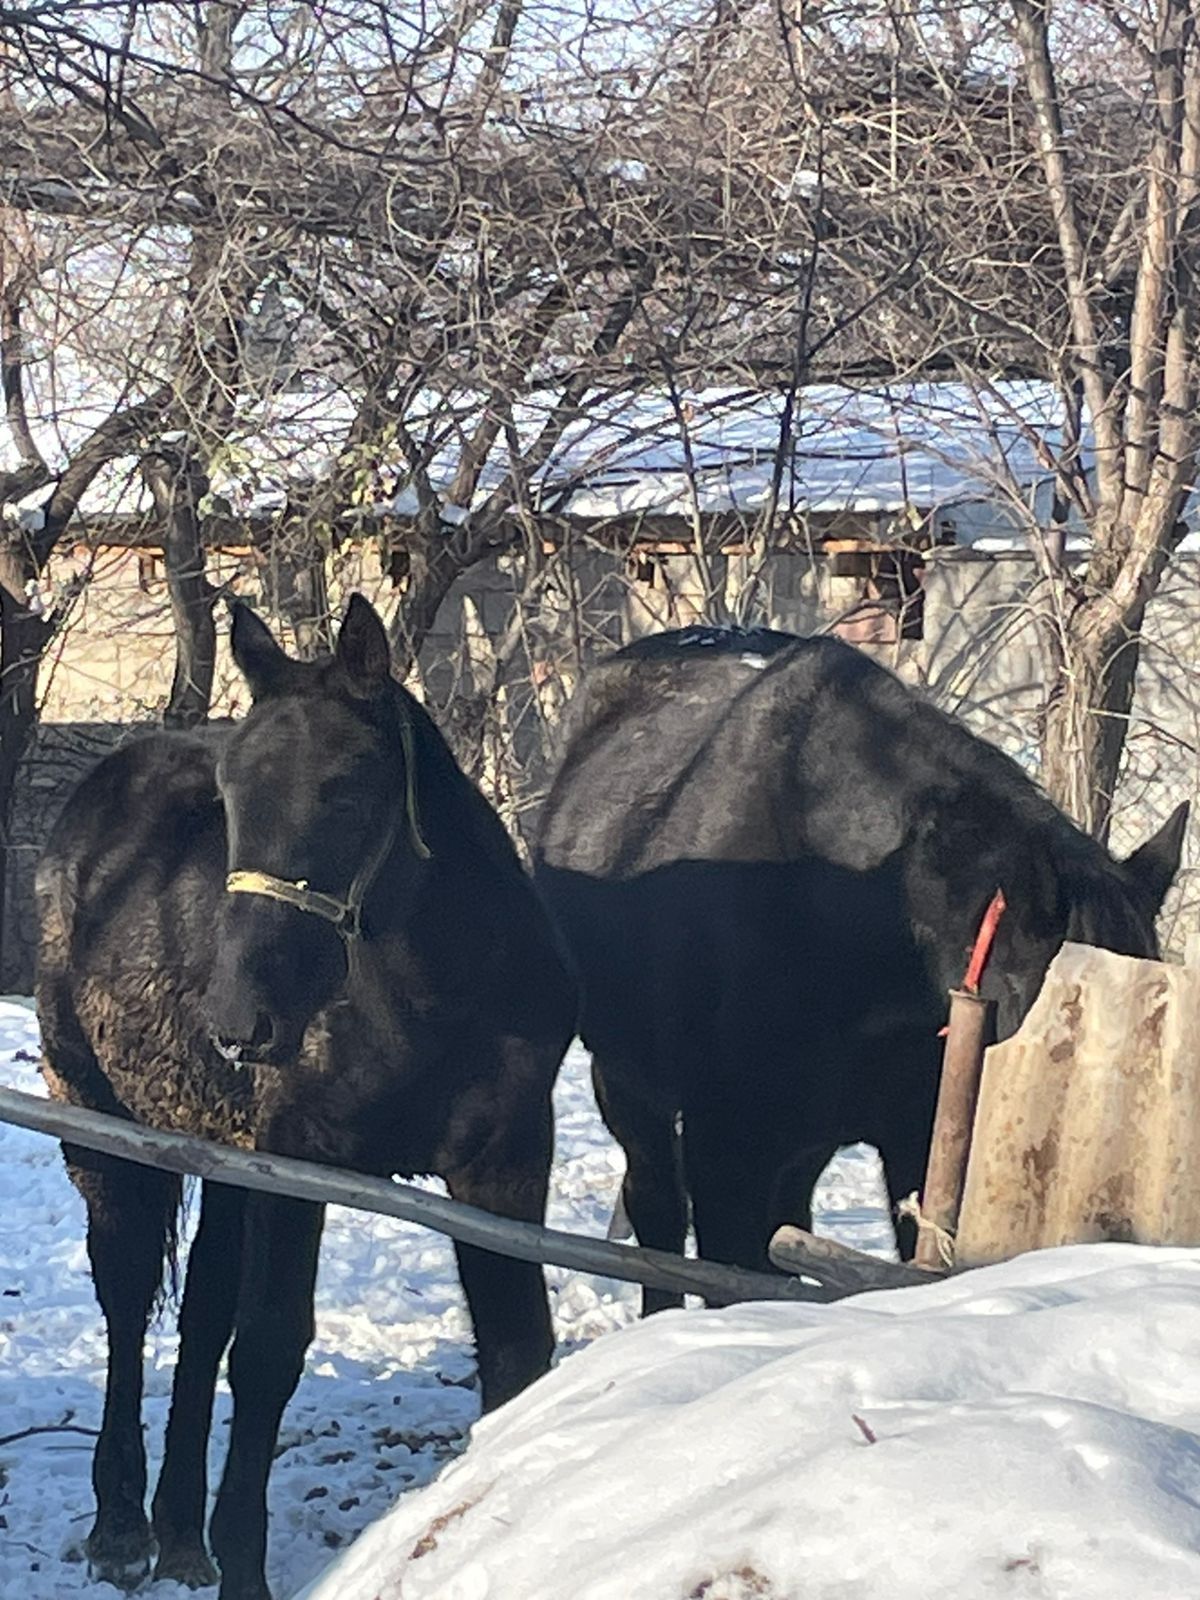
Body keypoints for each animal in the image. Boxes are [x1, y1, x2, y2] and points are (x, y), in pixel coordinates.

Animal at [36, 601, 579, 1600]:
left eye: (348, 791)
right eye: (232, 796)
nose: (239, 1020)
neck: (433, 999)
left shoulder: (503, 1166)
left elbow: (518, 1351)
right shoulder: (298, 1164)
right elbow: (268, 1354)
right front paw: (243, 1568)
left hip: (219, 1154)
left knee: (201, 1309)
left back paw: (181, 1533)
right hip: (100, 1123)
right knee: (127, 1299)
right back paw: (123, 1526)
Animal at [537, 617, 1196, 1305]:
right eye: (1062, 1018)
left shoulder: (917, 1141)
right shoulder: (727, 1149)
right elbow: (731, 1271)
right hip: (626, 1079)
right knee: (656, 1208)